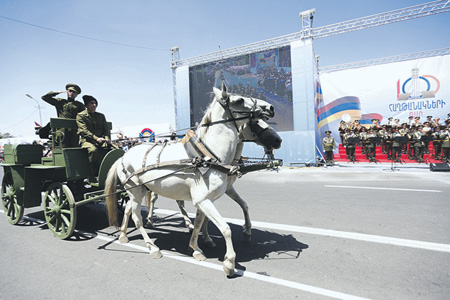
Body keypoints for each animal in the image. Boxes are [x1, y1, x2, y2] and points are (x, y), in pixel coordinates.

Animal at [106, 83, 282, 276]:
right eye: (239, 100)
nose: (270, 107)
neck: (208, 156)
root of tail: (122, 156)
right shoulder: (203, 200)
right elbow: (225, 228)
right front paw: (229, 262)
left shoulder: (207, 199)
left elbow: (202, 222)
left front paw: (197, 247)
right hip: (135, 191)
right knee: (137, 218)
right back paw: (152, 247)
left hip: (140, 191)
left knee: (129, 209)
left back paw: (124, 234)